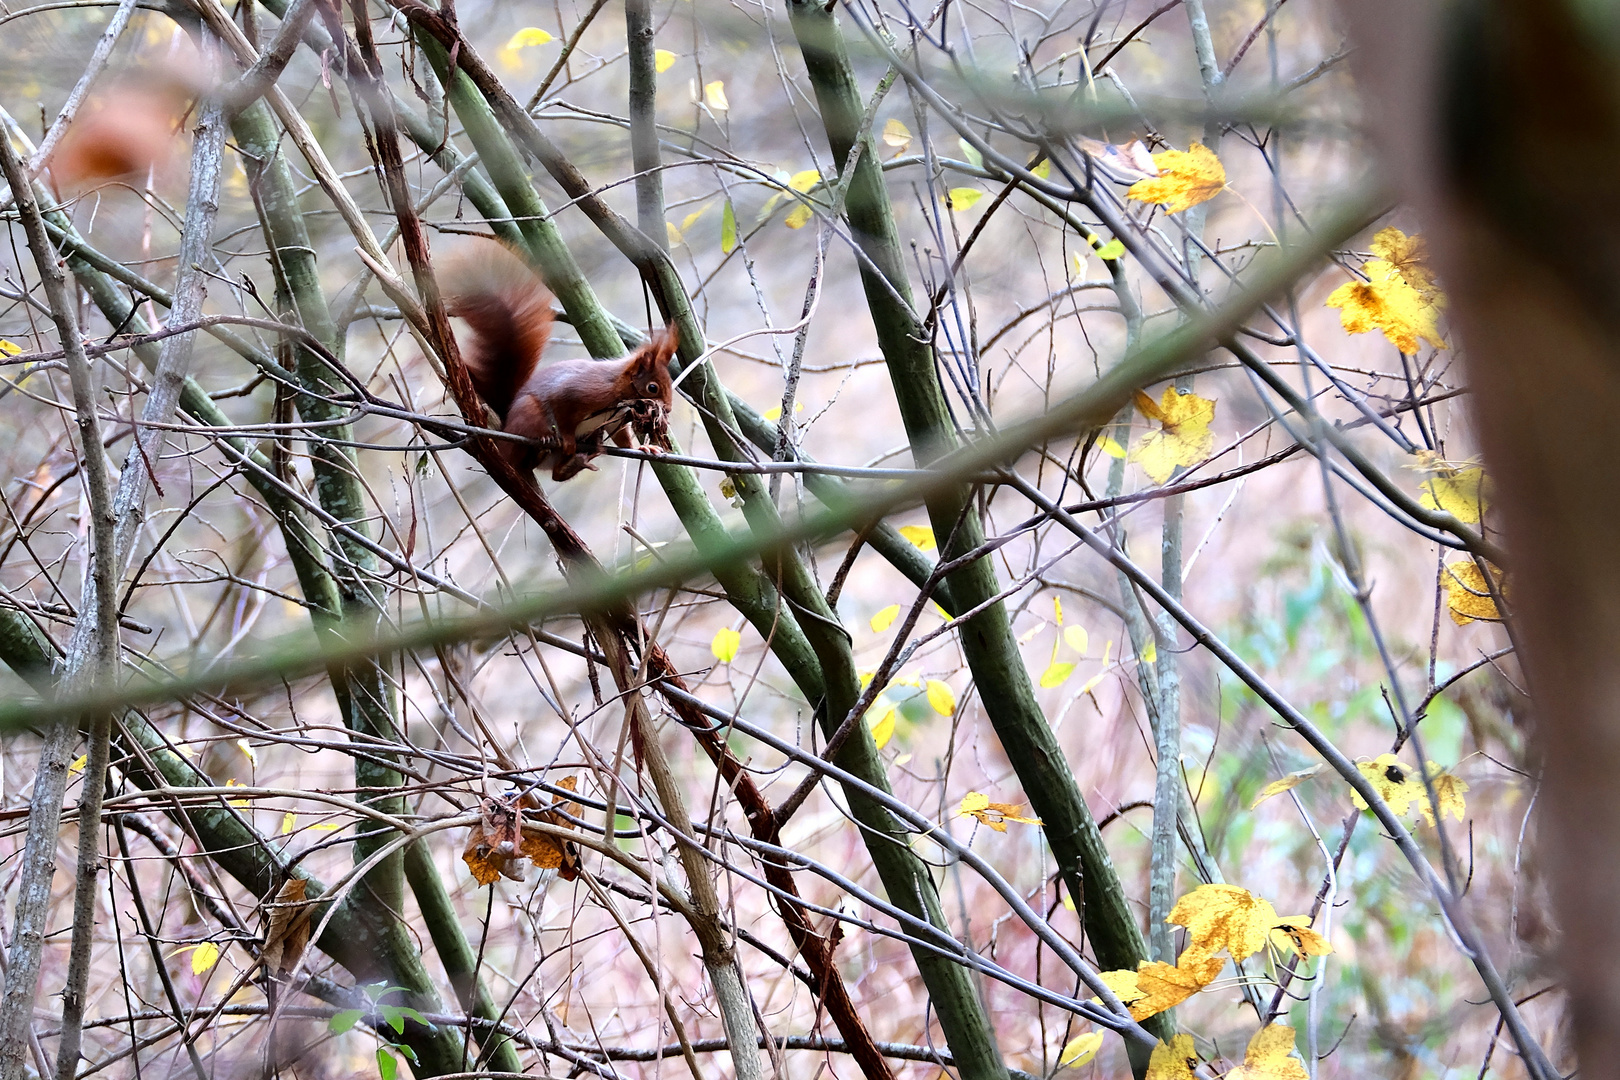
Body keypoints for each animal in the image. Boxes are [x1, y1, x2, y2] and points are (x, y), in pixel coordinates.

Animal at [437, 244, 677, 485]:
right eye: (652, 387)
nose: (667, 409)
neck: (617, 389)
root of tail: (506, 423)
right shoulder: (579, 393)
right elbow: (563, 413)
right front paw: (568, 439)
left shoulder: (614, 419)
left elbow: (622, 438)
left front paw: (644, 448)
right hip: (529, 415)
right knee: (520, 458)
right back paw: (543, 442)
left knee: (556, 474)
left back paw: (575, 462)